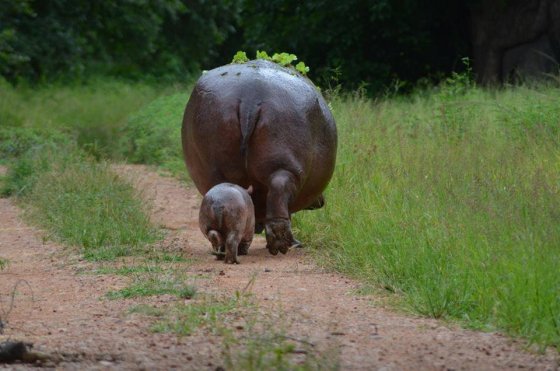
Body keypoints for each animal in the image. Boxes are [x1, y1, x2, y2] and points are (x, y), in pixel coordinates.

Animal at [182, 60, 334, 256]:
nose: (322, 200)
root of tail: (250, 98)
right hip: (285, 164)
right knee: (279, 196)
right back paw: (282, 246)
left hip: (213, 165)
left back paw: (223, 248)